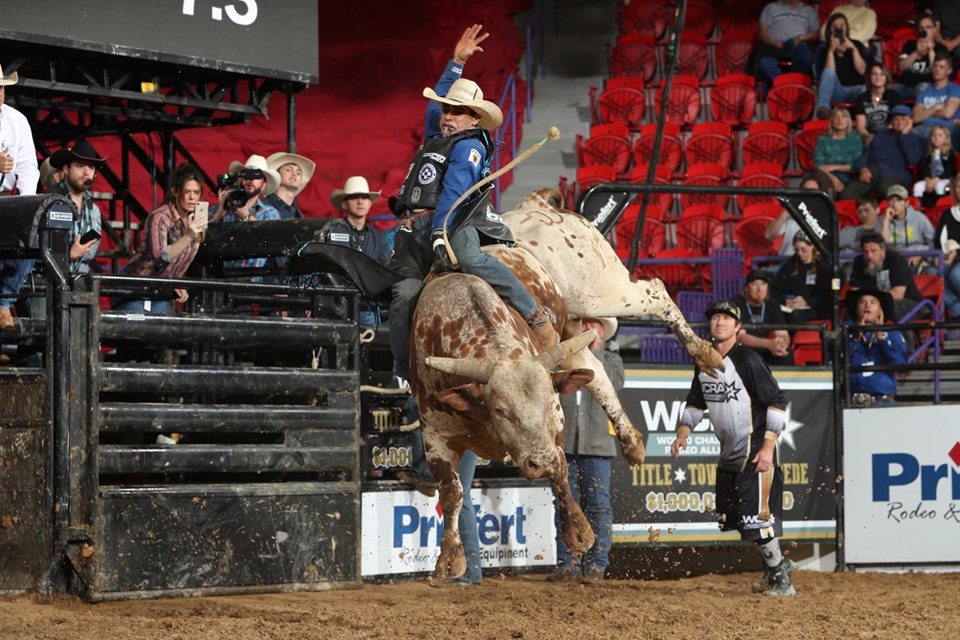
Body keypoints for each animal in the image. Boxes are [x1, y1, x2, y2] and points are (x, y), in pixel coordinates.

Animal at [408, 189, 724, 580]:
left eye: (547, 403)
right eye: (500, 409)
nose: (538, 461)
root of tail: (537, 205)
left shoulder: (554, 418)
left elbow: (561, 468)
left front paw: (579, 531)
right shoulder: (434, 433)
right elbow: (451, 493)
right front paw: (449, 559)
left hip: (598, 290)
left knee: (655, 292)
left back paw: (706, 354)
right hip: (570, 328)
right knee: (595, 370)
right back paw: (632, 442)